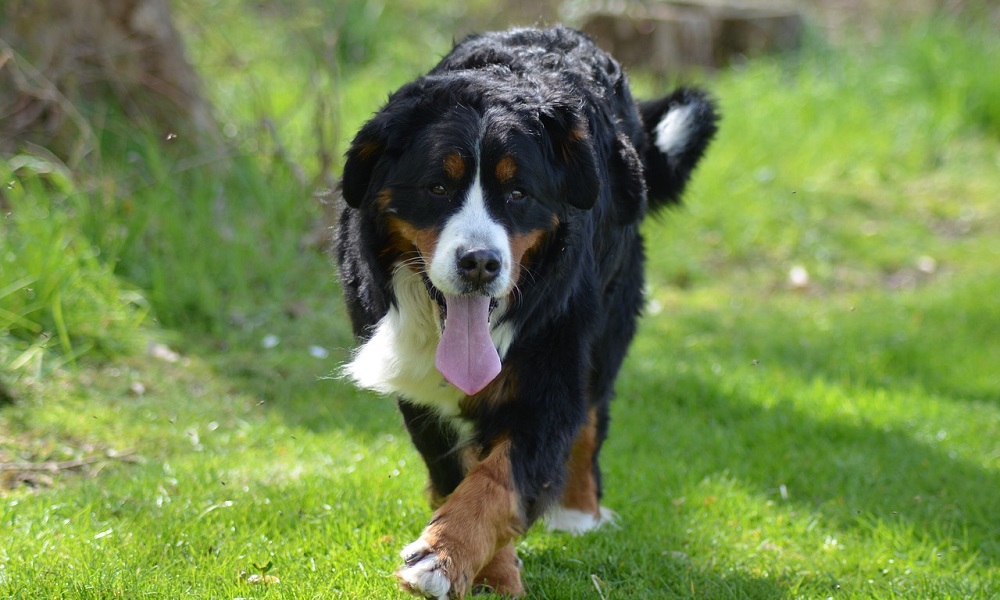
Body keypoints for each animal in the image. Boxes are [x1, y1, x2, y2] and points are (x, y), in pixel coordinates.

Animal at [336, 25, 720, 596]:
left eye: (518, 193)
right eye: (437, 186)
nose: (479, 262)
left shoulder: (548, 374)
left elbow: (498, 481)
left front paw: (441, 558)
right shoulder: (420, 393)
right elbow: (458, 474)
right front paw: (485, 569)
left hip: (608, 320)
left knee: (591, 414)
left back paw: (580, 512)